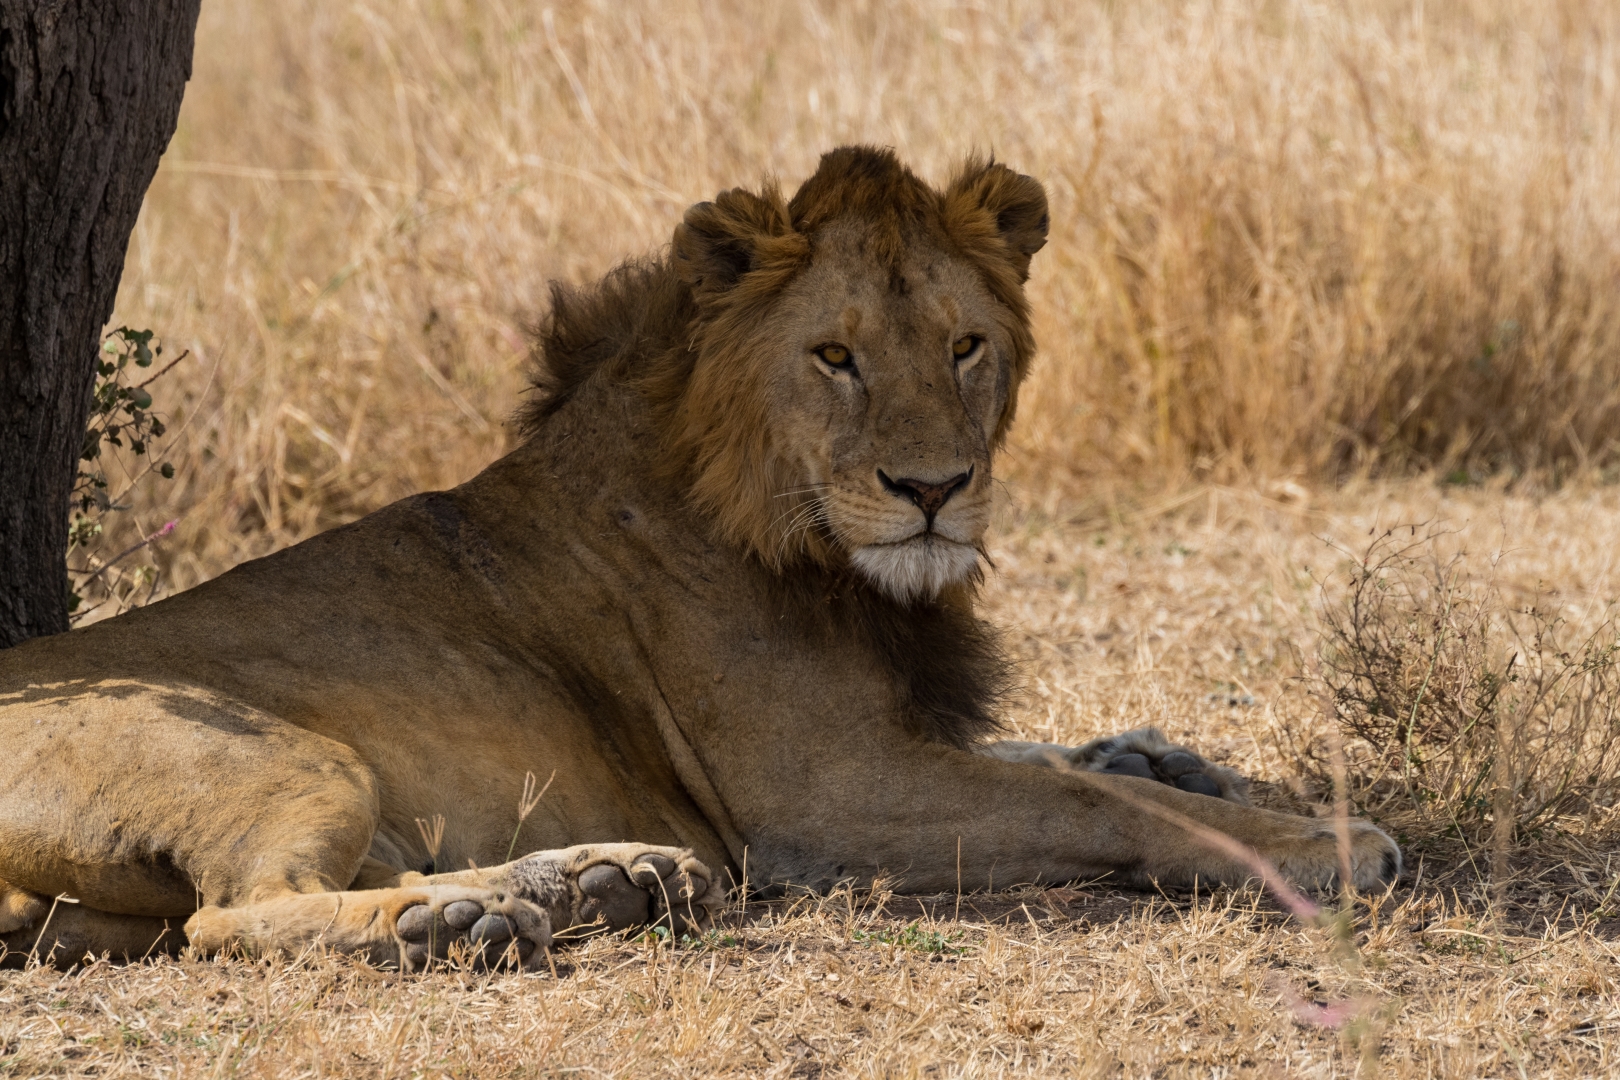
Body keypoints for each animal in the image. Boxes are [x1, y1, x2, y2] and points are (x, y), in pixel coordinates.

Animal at [0, 145, 1399, 971]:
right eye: (835, 357)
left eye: (965, 345)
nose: (933, 493)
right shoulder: (824, 802)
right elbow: (1092, 803)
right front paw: (1318, 842)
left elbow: (1069, 758)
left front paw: (1177, 755)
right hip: (279, 754)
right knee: (233, 912)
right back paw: (463, 918)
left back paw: (596, 883)